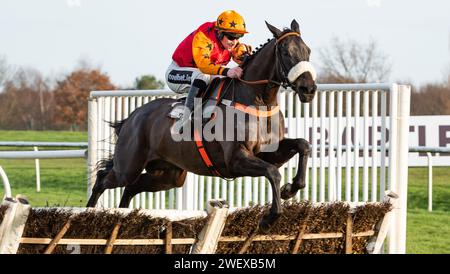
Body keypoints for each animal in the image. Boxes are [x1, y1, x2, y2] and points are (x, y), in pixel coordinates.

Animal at [88, 19, 318, 231]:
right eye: (286, 52)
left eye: (308, 51)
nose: (308, 89)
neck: (258, 102)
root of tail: (132, 117)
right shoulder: (235, 160)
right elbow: (273, 173)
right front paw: (269, 218)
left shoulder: (267, 152)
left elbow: (302, 145)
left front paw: (291, 188)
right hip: (129, 166)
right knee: (102, 179)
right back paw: (88, 213)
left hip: (168, 175)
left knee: (131, 189)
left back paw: (121, 217)